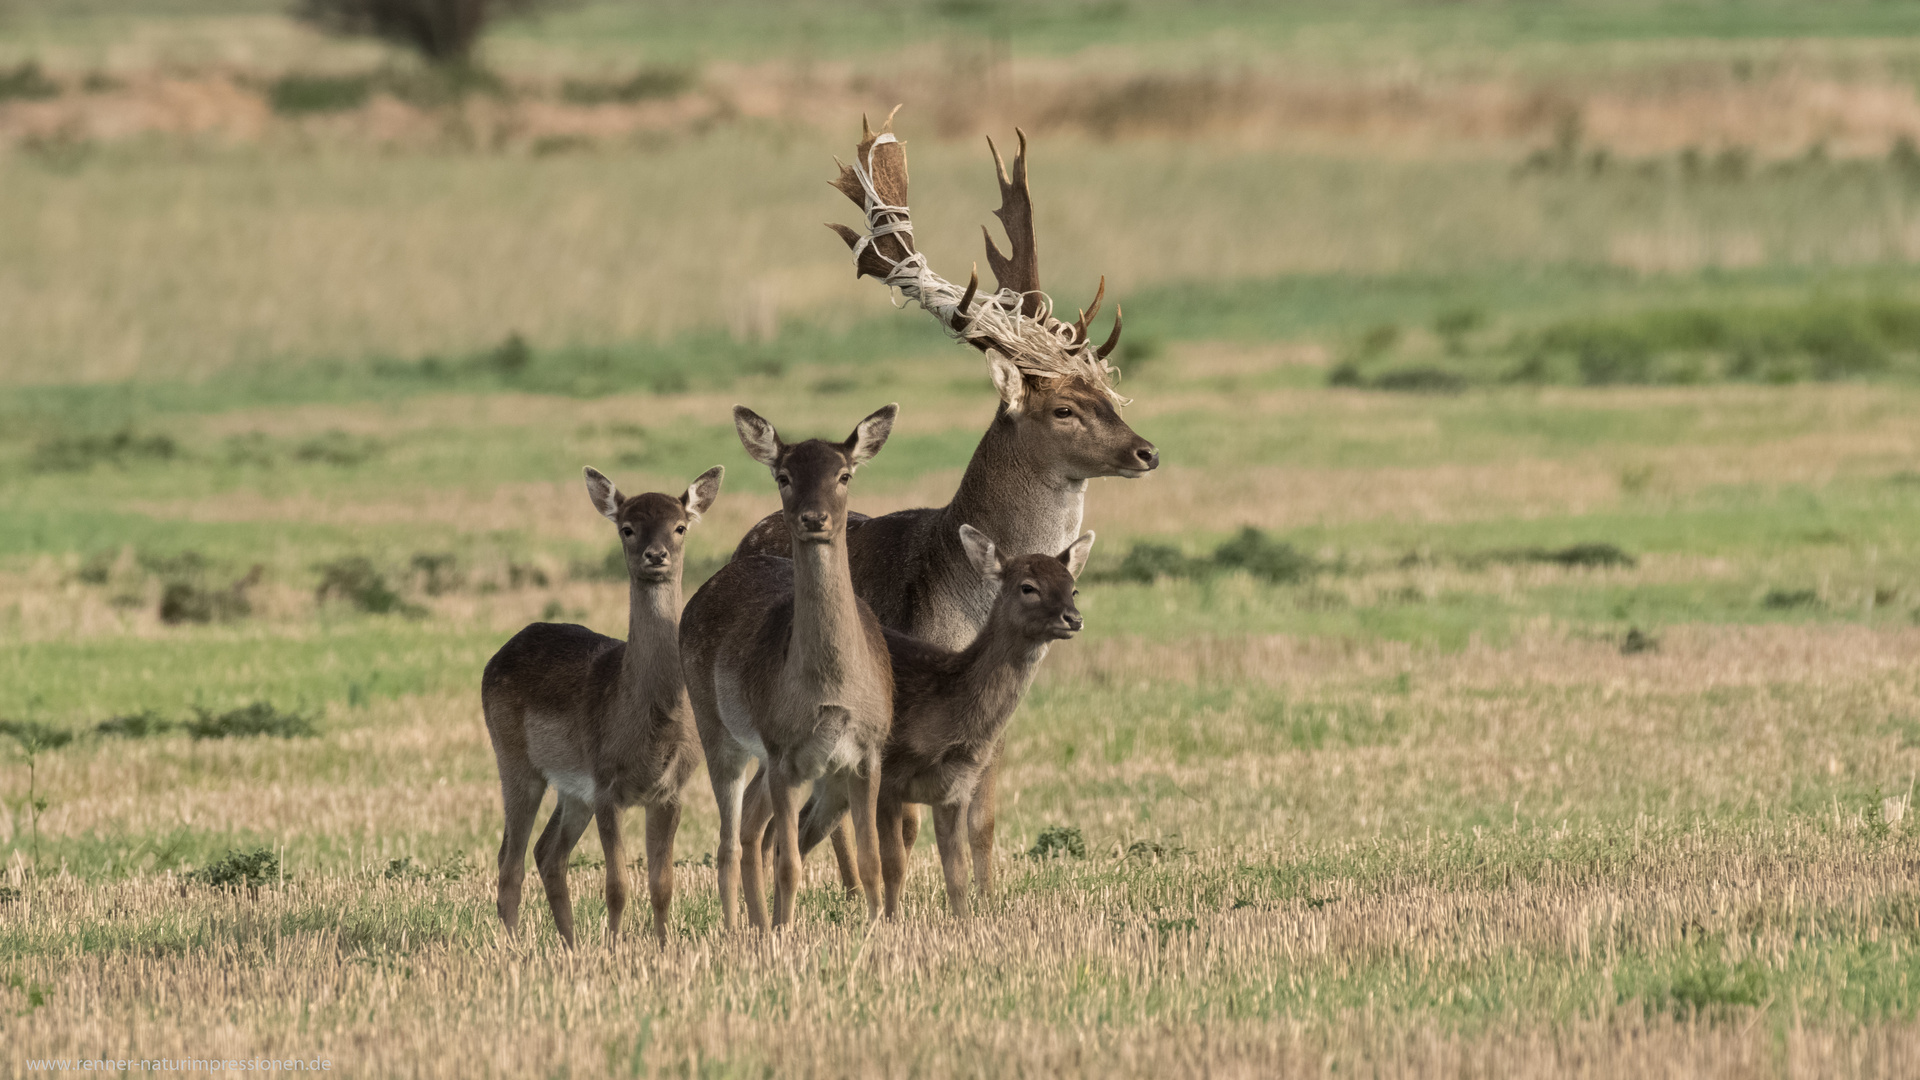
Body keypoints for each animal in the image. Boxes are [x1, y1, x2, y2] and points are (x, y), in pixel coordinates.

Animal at [480, 463, 721, 941]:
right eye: (627, 527)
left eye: (680, 526)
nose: (655, 555)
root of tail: (495, 658)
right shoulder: (607, 783)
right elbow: (617, 885)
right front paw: (613, 948)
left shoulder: (671, 790)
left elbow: (662, 884)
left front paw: (663, 947)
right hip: (514, 759)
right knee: (509, 862)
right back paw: (514, 948)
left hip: (573, 789)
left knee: (547, 853)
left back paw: (571, 944)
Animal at [683, 403, 898, 926]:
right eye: (783, 475)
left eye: (844, 474)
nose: (813, 518)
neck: (832, 691)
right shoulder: (783, 750)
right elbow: (789, 862)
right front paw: (784, 931)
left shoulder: (869, 751)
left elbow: (871, 861)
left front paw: (879, 929)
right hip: (717, 730)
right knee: (731, 839)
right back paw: (740, 928)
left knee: (748, 826)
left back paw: (757, 925)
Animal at [794, 526, 1098, 910]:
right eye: (1028, 586)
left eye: (1073, 587)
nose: (1074, 618)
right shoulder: (889, 774)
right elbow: (893, 863)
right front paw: (891, 919)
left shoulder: (953, 787)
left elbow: (957, 874)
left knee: (801, 826)